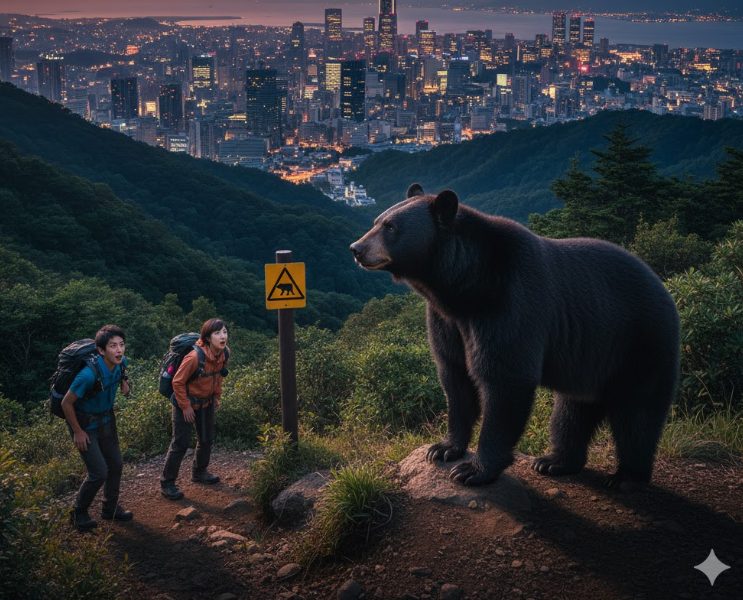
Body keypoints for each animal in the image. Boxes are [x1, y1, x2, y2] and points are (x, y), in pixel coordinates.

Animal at [350, 184, 680, 489]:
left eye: (390, 226)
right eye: (376, 221)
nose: (356, 248)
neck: (463, 286)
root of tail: (664, 290)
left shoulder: (511, 301)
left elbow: (505, 377)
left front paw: (474, 469)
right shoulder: (446, 320)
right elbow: (454, 376)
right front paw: (443, 448)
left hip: (640, 342)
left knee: (637, 413)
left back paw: (627, 477)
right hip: (591, 357)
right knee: (572, 410)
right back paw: (555, 461)